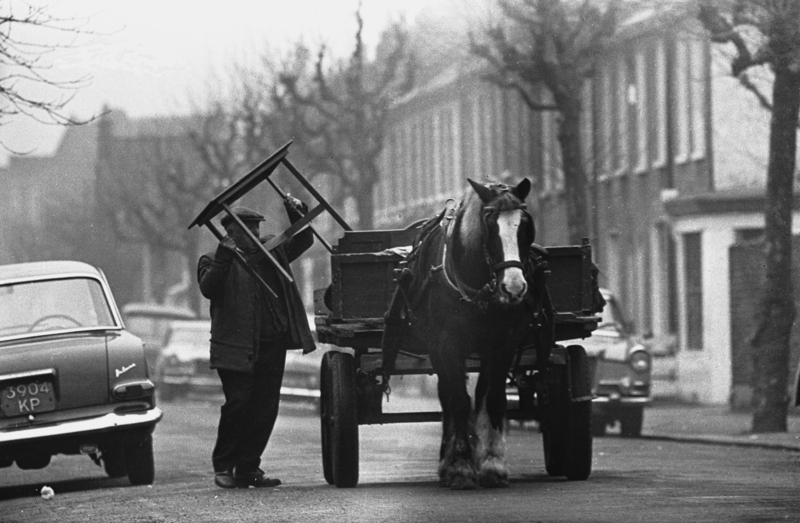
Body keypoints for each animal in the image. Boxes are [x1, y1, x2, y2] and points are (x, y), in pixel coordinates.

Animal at [382, 178, 536, 490]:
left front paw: (493, 465)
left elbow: (494, 400)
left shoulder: (502, 344)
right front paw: (461, 467)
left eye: (525, 225)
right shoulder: (448, 344)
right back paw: (448, 460)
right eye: (489, 225)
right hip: (436, 348)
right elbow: (459, 402)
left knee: (479, 394)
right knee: (448, 396)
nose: (514, 287)